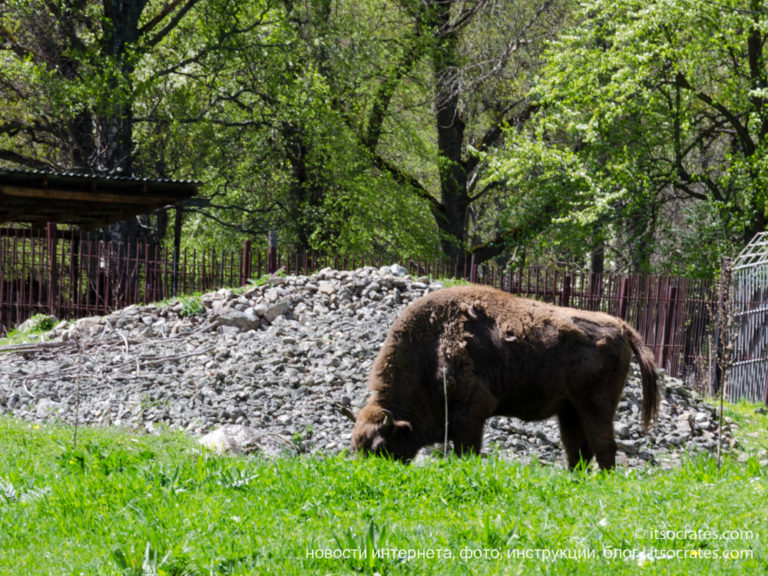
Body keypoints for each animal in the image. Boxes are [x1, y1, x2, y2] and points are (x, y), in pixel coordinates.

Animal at [352, 286, 656, 470]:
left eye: (381, 447)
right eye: (357, 447)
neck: (430, 347)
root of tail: (621, 326)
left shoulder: (470, 416)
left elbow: (467, 451)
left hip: (596, 407)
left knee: (603, 447)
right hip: (569, 410)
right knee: (577, 450)